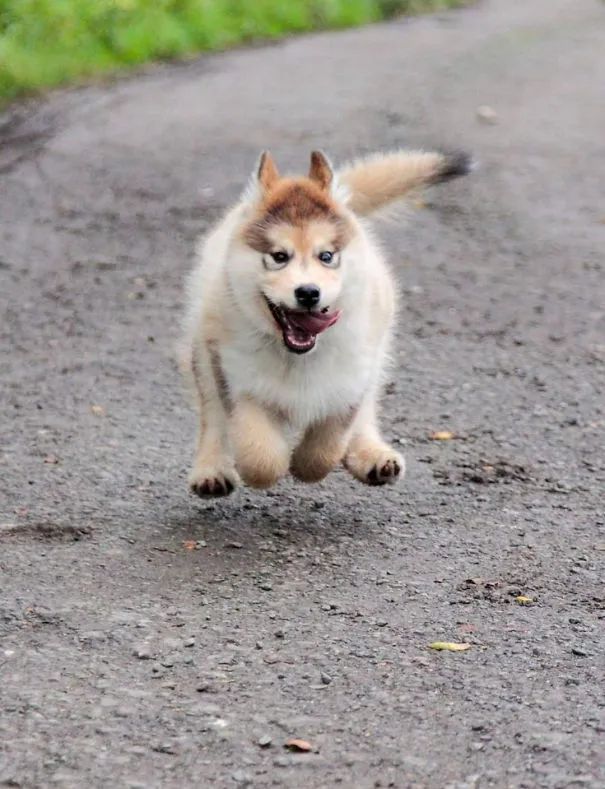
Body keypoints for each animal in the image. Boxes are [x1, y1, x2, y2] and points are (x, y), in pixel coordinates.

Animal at [182, 149, 470, 496]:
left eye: (327, 256)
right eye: (279, 256)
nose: (308, 292)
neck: (296, 355)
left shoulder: (350, 380)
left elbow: (328, 445)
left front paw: (307, 464)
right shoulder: (236, 379)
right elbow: (260, 455)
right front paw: (275, 464)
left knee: (368, 407)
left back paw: (371, 456)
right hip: (203, 346)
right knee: (211, 413)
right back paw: (211, 470)